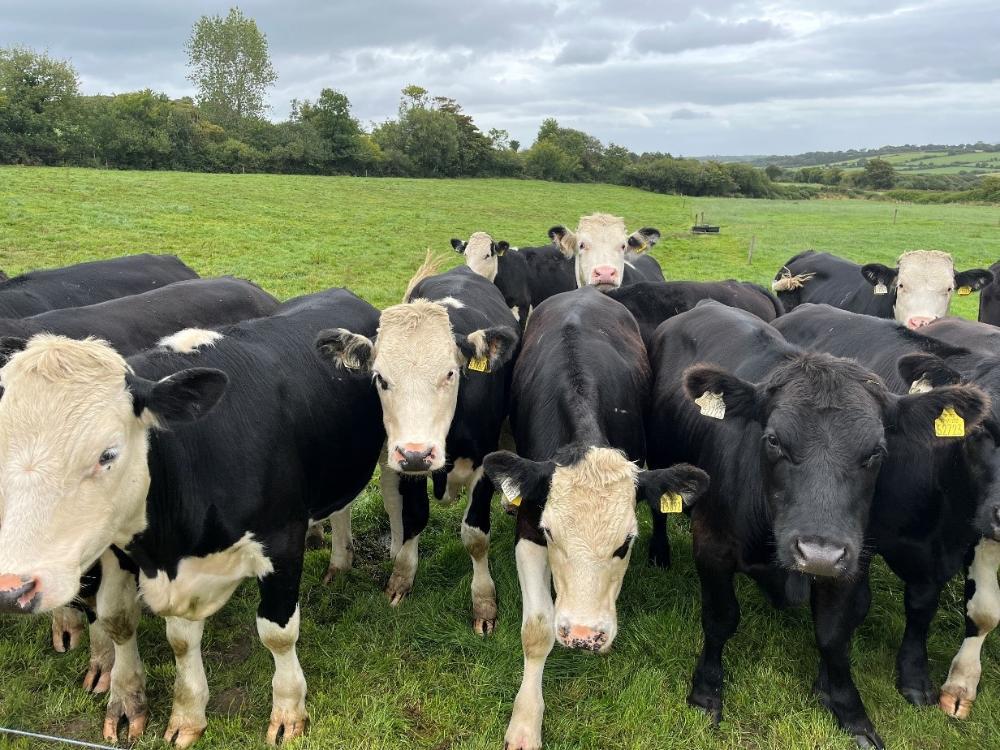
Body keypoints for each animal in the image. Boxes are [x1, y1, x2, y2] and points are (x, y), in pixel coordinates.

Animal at [0, 287, 384, 747]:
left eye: (107, 454)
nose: (12, 589)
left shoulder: (281, 540)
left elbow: (278, 633)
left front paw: (289, 711)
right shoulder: (124, 551)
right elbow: (143, 628)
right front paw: (158, 709)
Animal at [316, 261, 519, 634]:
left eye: (451, 373)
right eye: (380, 377)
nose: (416, 453)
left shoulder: (484, 464)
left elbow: (476, 536)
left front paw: (483, 601)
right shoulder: (406, 464)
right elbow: (413, 516)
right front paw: (401, 578)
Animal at [480, 286, 708, 750]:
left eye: (625, 543)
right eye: (550, 534)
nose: (584, 636)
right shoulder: (529, 525)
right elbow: (537, 630)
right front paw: (525, 722)